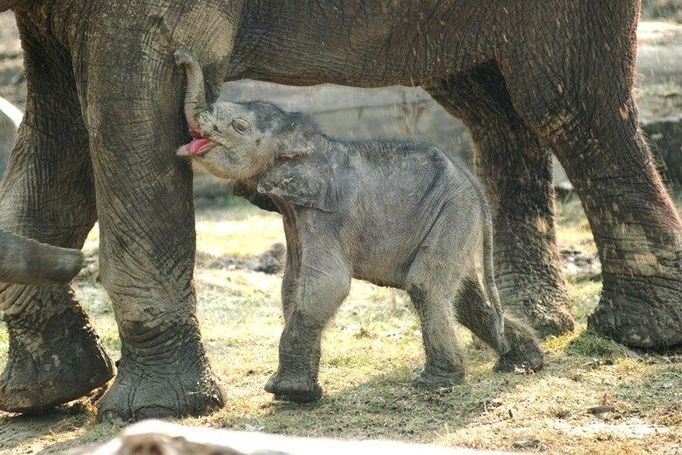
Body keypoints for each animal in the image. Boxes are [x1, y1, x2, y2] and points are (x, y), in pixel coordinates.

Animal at [174, 50, 540, 402]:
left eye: (238, 126)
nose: (180, 55)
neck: (302, 139)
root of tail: (473, 182)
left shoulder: (327, 216)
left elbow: (326, 284)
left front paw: (288, 393)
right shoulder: (294, 216)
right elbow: (291, 284)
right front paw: (298, 394)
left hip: (454, 211)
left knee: (427, 286)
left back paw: (435, 384)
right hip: (456, 216)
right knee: (463, 296)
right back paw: (523, 362)